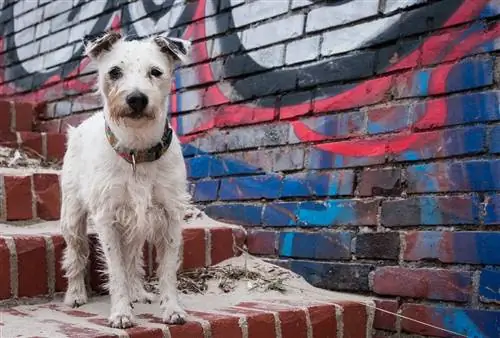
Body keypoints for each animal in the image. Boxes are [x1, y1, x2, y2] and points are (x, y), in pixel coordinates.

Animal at [59, 31, 191, 328]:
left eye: (156, 72)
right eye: (115, 72)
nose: (136, 99)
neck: (137, 151)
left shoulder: (170, 216)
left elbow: (167, 270)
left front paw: (172, 309)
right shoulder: (107, 219)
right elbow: (116, 270)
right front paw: (121, 312)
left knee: (133, 258)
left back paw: (138, 291)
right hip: (72, 217)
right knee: (76, 254)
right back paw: (75, 294)